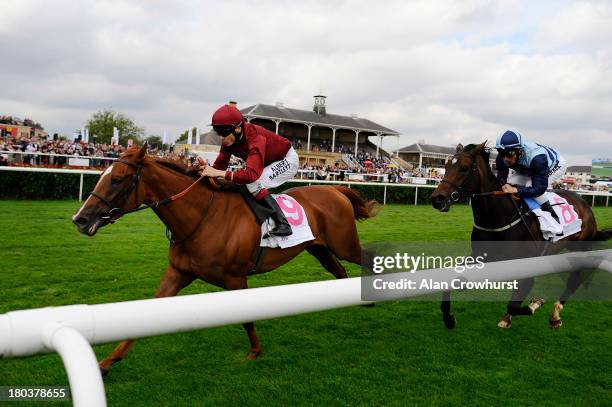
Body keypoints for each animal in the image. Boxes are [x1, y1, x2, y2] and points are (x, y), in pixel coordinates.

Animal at [74, 143, 376, 376]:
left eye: (117, 179)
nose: (80, 219)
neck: (203, 218)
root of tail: (335, 190)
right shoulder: (178, 273)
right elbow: (143, 316)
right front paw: (106, 363)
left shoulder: (235, 278)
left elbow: (247, 318)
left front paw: (255, 351)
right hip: (320, 249)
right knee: (339, 272)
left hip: (344, 244)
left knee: (364, 259)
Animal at [430, 143, 612, 332]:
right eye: (446, 166)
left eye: (464, 168)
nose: (437, 199)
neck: (498, 217)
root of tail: (585, 204)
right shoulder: (481, 257)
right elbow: (452, 278)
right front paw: (449, 318)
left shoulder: (527, 263)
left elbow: (514, 303)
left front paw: (534, 304)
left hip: (582, 248)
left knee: (575, 279)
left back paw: (556, 314)